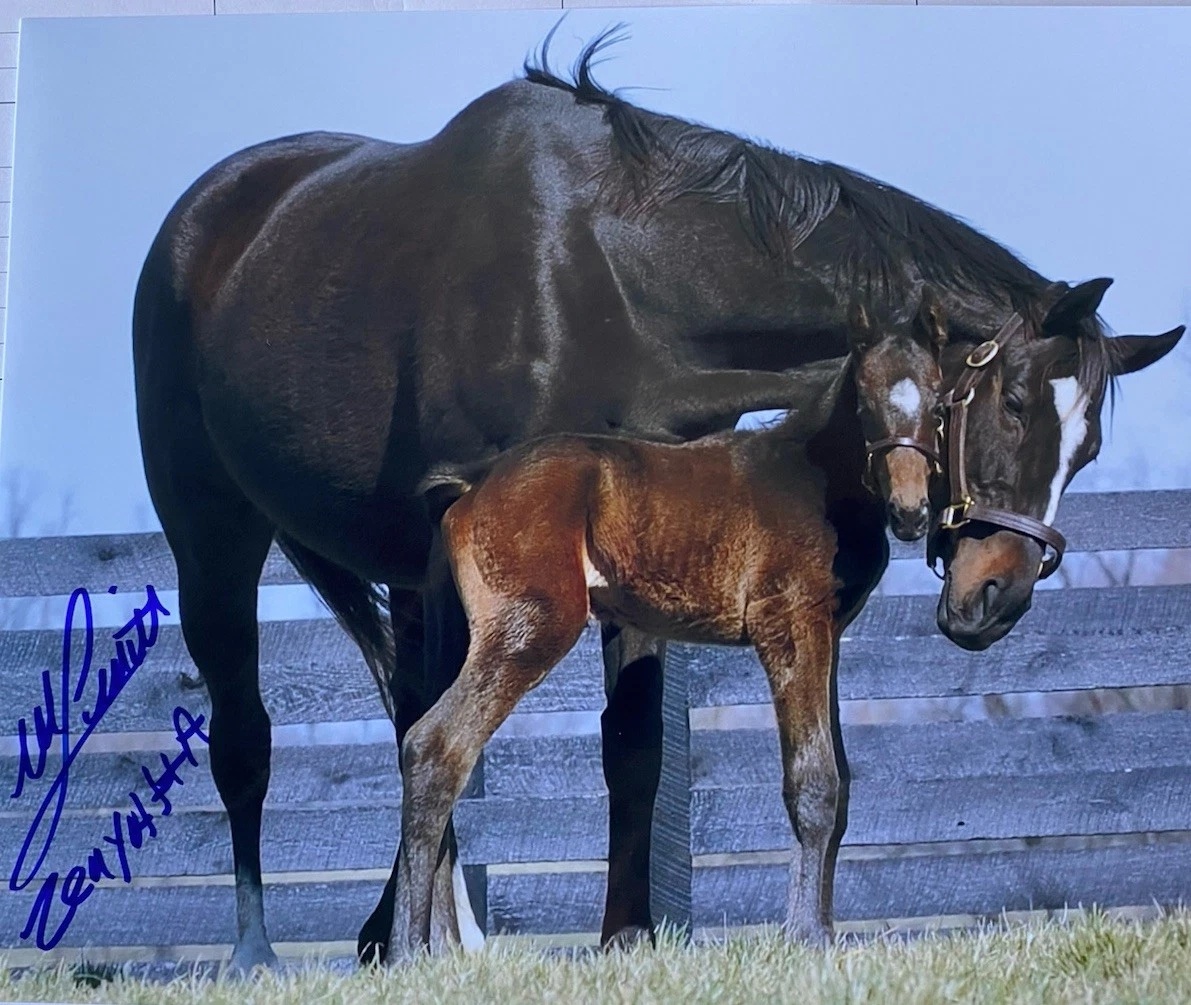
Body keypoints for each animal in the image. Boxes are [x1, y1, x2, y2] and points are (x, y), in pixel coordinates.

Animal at [131, 28, 1184, 969]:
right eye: (1010, 403)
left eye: (1088, 446)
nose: (993, 597)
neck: (606, 266)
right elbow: (797, 774)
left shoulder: (644, 568)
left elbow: (636, 746)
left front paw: (628, 936)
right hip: (217, 536)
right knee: (260, 738)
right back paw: (271, 949)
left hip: (411, 570)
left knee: (414, 719)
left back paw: (422, 938)